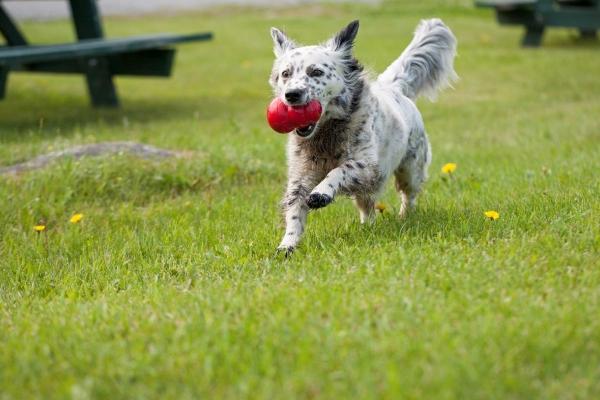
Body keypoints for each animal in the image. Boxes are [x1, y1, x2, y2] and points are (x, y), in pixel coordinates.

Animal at [270, 18, 458, 255]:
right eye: (285, 74)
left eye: (316, 72)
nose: (291, 95)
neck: (326, 135)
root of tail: (395, 88)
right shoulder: (301, 174)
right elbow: (295, 209)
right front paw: (287, 245)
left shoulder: (367, 167)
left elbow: (338, 171)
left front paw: (321, 193)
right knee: (367, 207)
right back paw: (368, 226)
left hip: (410, 170)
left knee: (409, 195)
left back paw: (405, 216)